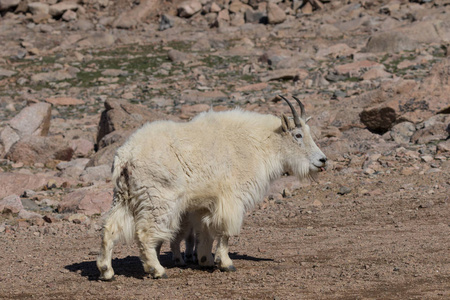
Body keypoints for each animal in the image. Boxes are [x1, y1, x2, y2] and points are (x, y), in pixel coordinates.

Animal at [96, 95, 326, 280]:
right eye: (298, 135)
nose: (322, 160)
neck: (260, 144)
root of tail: (125, 156)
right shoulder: (232, 197)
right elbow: (225, 232)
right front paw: (225, 263)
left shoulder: (204, 204)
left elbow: (204, 231)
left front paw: (205, 260)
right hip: (158, 198)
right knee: (144, 233)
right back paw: (157, 270)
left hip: (125, 195)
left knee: (110, 228)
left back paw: (106, 271)